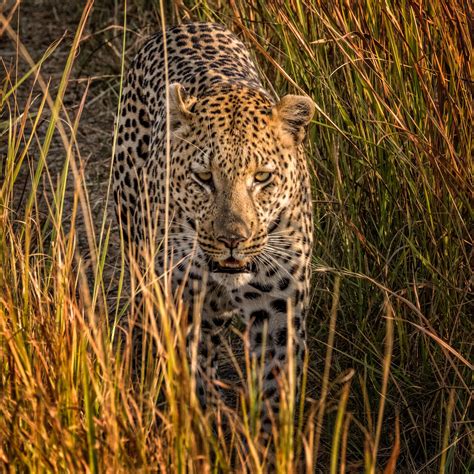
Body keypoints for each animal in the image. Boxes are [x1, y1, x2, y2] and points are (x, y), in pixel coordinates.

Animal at [112, 21, 314, 444]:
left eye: (262, 177)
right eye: (204, 178)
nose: (232, 240)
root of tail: (185, 23)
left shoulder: (279, 307)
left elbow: (275, 388)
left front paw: (269, 446)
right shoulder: (188, 300)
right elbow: (194, 372)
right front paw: (201, 433)